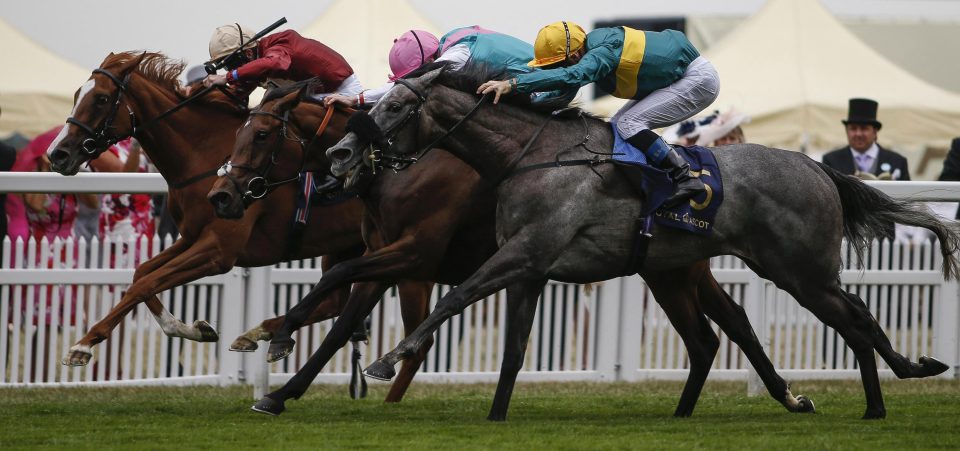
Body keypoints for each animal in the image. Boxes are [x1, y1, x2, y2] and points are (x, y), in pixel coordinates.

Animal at [45, 52, 432, 402]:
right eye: (78, 93)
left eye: (101, 98)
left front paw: (82, 345)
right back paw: (258, 334)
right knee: (334, 302)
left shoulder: (219, 250)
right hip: (345, 245)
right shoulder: (191, 237)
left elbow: (146, 283)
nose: (57, 154)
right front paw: (194, 328)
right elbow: (142, 274)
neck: (205, 157)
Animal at [212, 78, 816, 420]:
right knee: (723, 327)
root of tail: (696, 169)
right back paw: (775, 397)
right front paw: (277, 382)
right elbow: (340, 320)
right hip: (668, 271)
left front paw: (276, 340)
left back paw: (784, 397)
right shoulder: (391, 259)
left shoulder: (413, 256)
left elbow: (339, 286)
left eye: (261, 135)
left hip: (678, 271)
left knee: (732, 325)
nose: (222, 196)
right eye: (236, 132)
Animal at [328, 64, 960, 420]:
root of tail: (819, 168)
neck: (532, 157)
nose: (340, 152)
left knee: (855, 319)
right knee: (729, 337)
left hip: (799, 272)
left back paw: (883, 396)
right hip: (688, 270)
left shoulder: (524, 254)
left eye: (397, 106)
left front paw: (387, 358)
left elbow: (456, 299)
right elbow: (512, 352)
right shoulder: (530, 269)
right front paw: (496, 418)